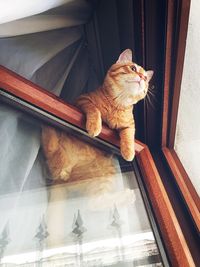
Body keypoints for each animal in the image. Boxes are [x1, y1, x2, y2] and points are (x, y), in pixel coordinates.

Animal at [40, 48, 153, 182]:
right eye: (133, 68)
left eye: (145, 78)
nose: (141, 77)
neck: (117, 103)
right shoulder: (83, 99)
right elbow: (95, 110)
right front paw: (95, 126)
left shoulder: (129, 124)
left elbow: (129, 134)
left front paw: (129, 152)